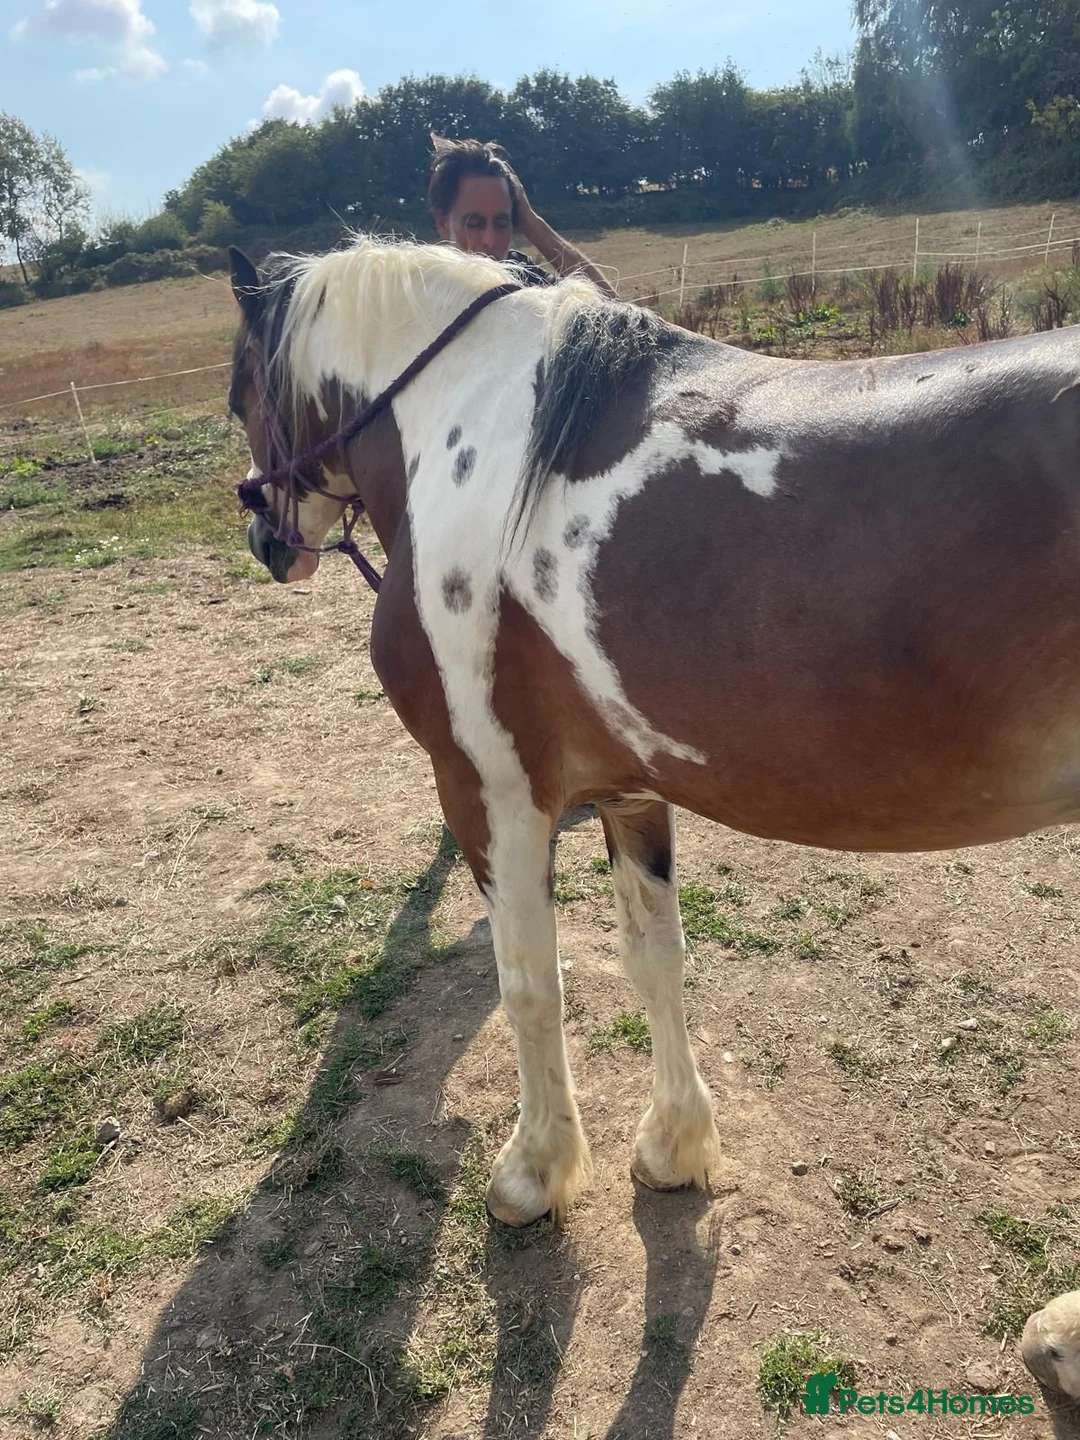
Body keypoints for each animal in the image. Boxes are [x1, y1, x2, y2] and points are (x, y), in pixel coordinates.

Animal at [226, 236, 1080, 1228]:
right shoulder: (630, 788)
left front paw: (534, 1171)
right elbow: (655, 959)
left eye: (241, 393)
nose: (266, 540)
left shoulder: (491, 792)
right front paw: (674, 1144)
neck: (474, 438)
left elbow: (530, 983)